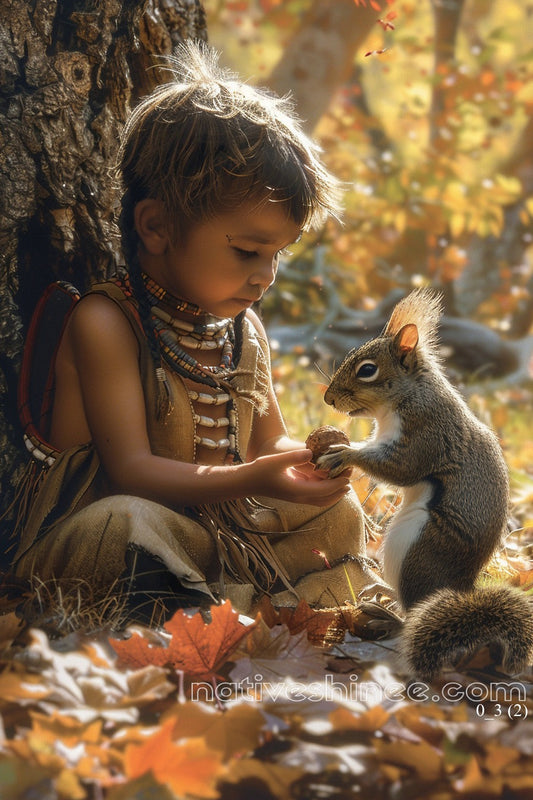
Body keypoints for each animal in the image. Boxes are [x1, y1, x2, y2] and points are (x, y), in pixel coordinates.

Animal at [317, 289, 533, 680]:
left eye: (367, 370)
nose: (328, 398)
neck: (407, 397)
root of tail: (461, 588)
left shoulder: (427, 435)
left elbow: (399, 469)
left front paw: (343, 454)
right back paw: (379, 590)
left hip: (415, 549)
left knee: (411, 615)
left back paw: (387, 615)